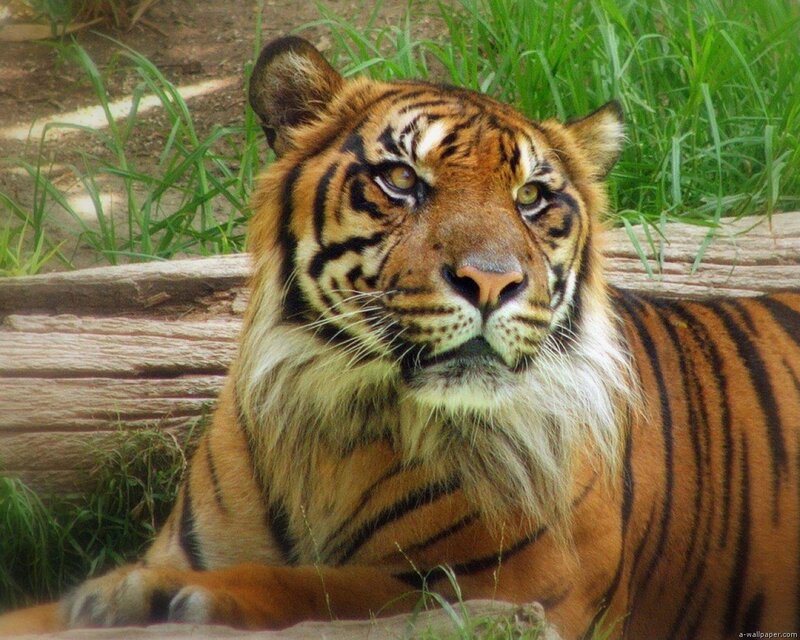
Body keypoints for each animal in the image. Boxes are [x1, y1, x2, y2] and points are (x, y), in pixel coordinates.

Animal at [1, 35, 798, 640]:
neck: (333, 431)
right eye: (401, 180)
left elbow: (334, 588)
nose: (492, 282)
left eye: (532, 197)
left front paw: (163, 598)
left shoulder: (517, 584)